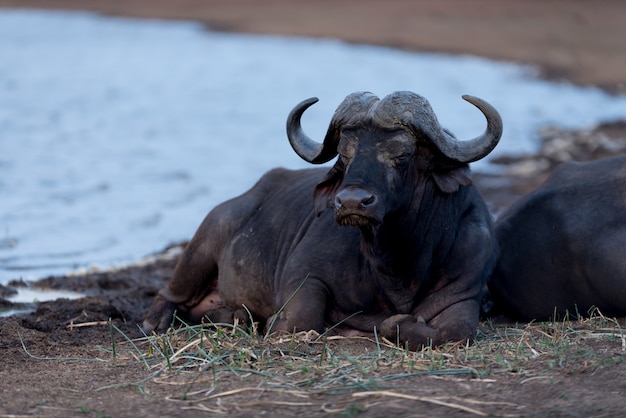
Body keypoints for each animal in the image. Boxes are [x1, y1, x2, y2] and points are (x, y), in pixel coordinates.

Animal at [143, 91, 502, 350]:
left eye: (402, 154)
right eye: (345, 154)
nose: (352, 201)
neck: (397, 265)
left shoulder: (463, 295)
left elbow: (454, 332)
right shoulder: (303, 277)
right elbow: (303, 321)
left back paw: (236, 316)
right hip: (203, 244)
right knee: (168, 295)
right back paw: (158, 322)